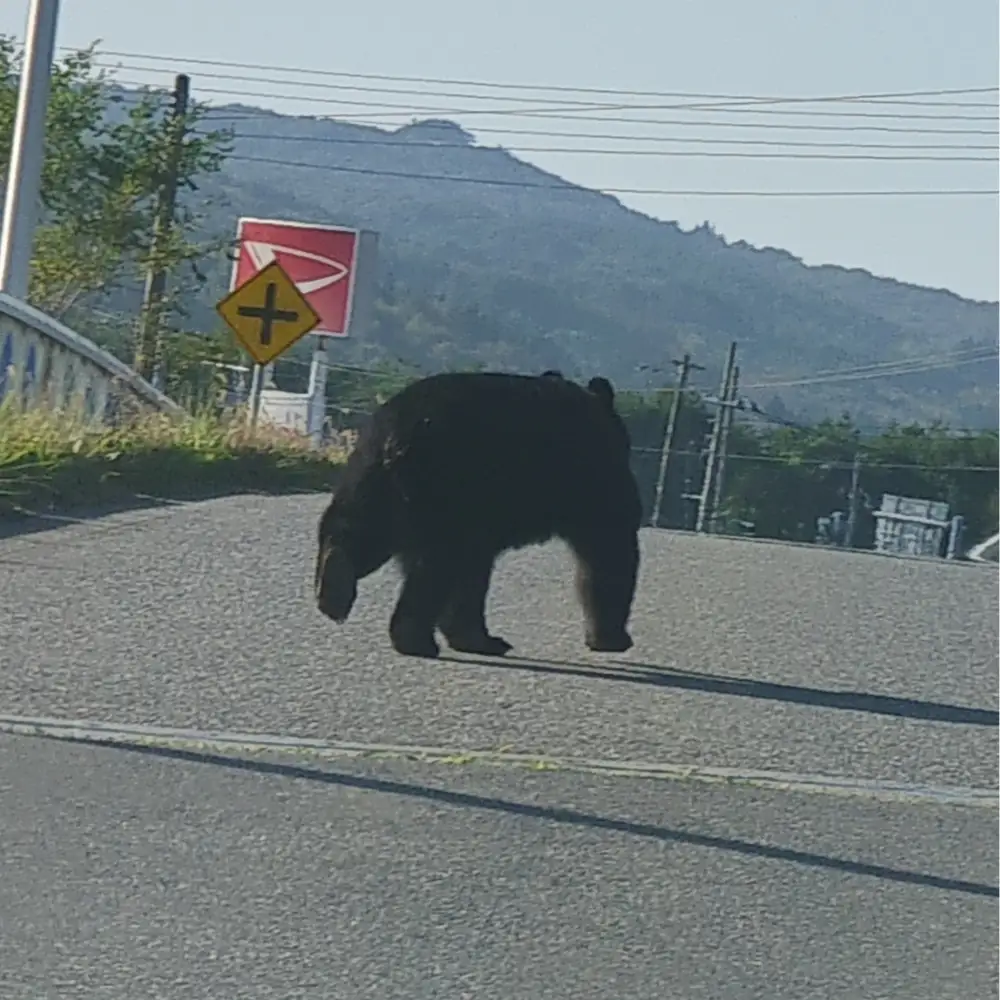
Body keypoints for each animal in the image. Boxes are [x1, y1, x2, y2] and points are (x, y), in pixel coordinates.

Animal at [314, 370, 642, 660]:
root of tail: (400, 433)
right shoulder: (592, 475)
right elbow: (609, 546)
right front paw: (612, 637)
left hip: (375, 480)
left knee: (362, 531)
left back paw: (333, 587)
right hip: (446, 488)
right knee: (437, 563)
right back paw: (415, 639)